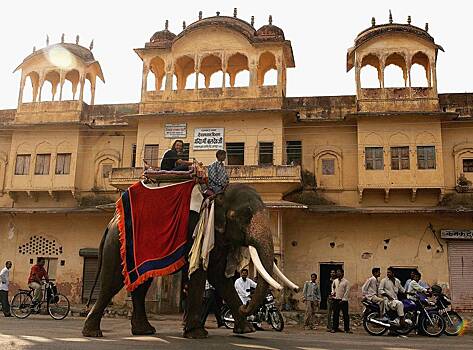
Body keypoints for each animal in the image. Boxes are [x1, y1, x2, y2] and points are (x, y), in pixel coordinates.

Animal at [80, 183, 296, 340]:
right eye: (244, 216)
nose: (246, 306)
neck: (217, 197)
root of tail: (110, 222)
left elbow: (220, 278)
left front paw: (247, 330)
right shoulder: (196, 231)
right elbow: (200, 273)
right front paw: (197, 334)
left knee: (141, 285)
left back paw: (144, 331)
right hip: (118, 245)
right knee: (112, 281)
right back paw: (93, 333)